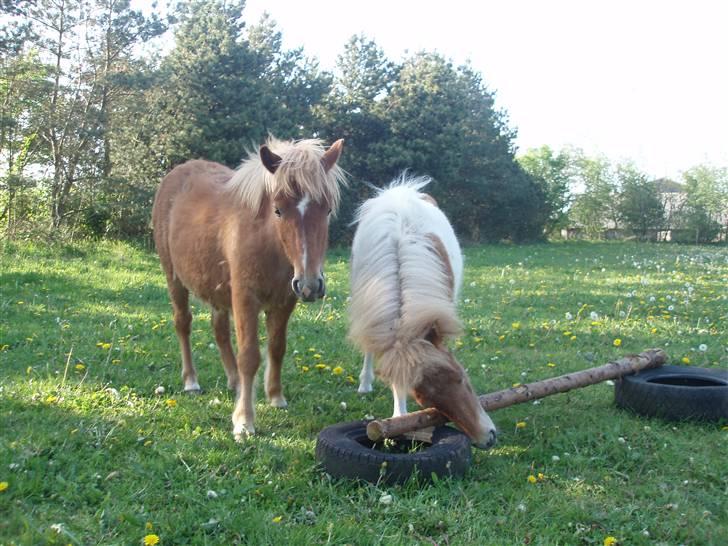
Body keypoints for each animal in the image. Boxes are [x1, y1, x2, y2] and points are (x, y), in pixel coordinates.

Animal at [152, 138, 346, 440]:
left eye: (326, 210)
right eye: (278, 209)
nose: (310, 285)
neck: (269, 242)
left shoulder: (284, 301)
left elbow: (277, 347)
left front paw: (276, 397)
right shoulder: (245, 298)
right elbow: (250, 356)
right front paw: (244, 421)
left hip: (217, 289)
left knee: (219, 331)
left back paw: (233, 381)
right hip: (174, 278)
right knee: (183, 323)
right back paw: (191, 381)